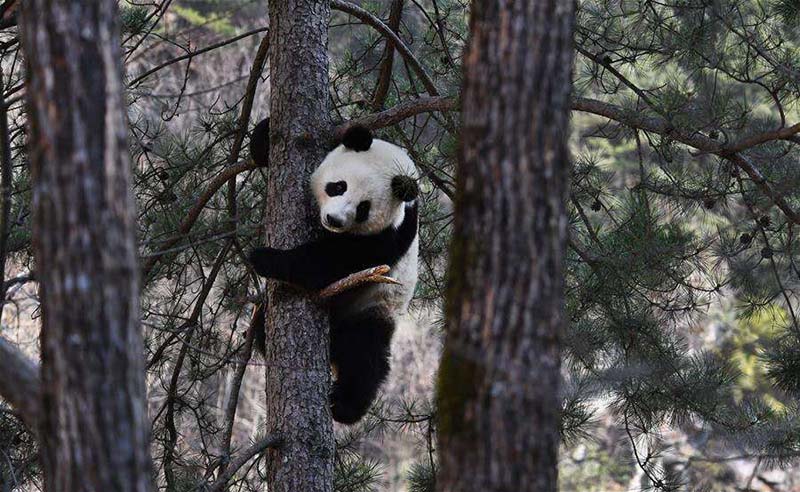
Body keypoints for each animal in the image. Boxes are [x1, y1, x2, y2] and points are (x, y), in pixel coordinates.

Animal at [247, 121, 422, 424]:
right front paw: (265, 134)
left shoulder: (390, 234)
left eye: (363, 209)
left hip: (372, 306)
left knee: (364, 356)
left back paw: (344, 406)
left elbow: (330, 262)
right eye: (338, 186)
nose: (334, 220)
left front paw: (265, 258)